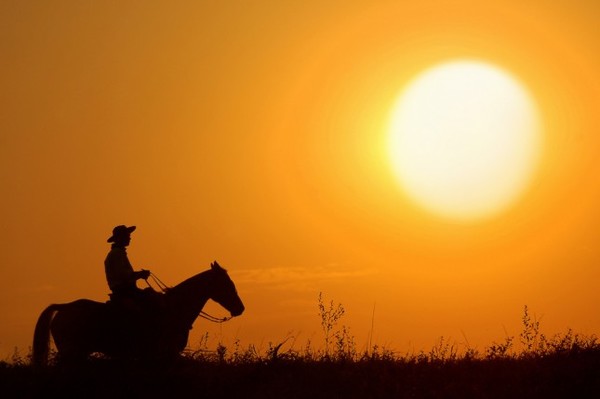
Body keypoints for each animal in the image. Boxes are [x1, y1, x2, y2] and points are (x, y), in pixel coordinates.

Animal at [32, 260, 244, 368]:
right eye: (228, 284)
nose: (240, 308)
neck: (175, 308)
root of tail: (63, 307)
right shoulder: (166, 354)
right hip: (71, 353)